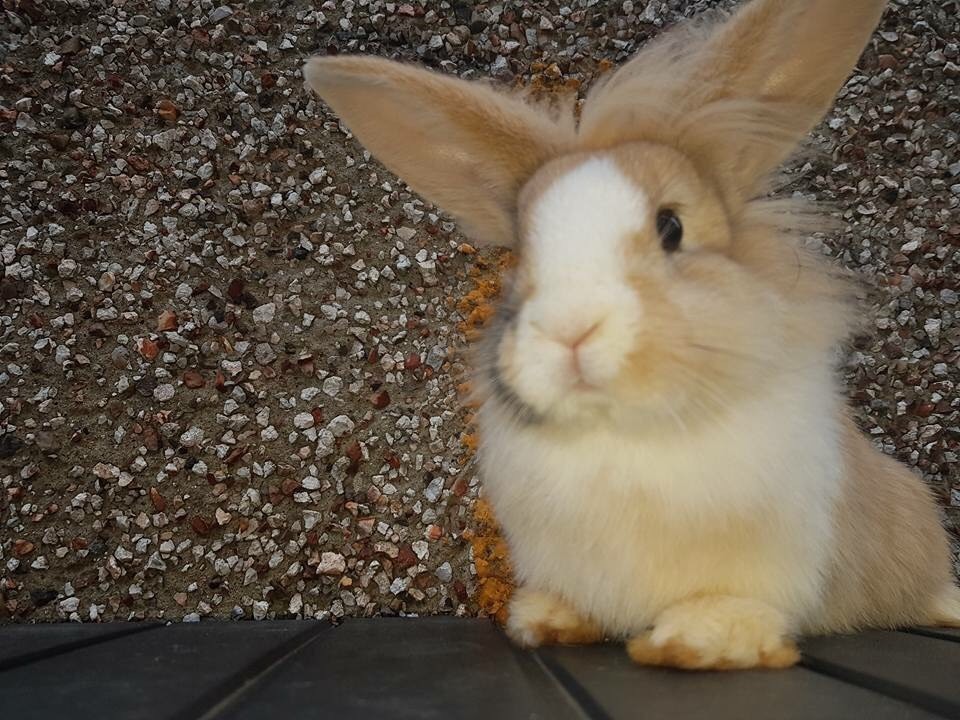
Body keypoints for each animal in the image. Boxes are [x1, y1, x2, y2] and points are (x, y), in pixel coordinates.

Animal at [303, 0, 960, 670]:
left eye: (671, 228)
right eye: (520, 255)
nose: (569, 329)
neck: (618, 431)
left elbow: (739, 603)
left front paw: (693, 642)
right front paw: (544, 623)